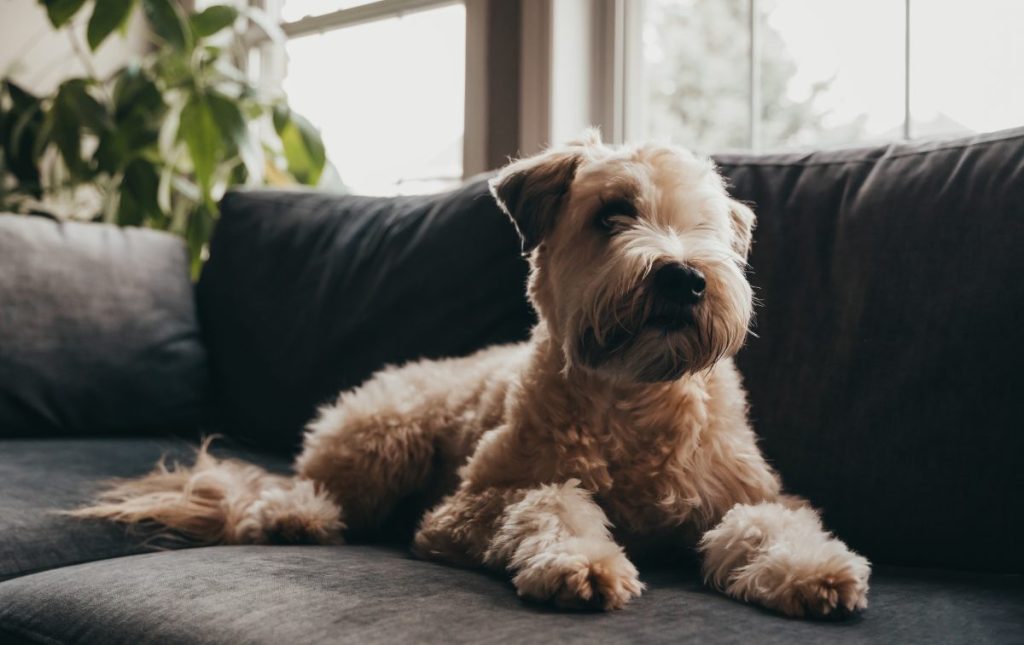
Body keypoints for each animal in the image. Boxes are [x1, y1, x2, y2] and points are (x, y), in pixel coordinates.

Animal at [74, 130, 872, 618]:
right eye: (613, 213)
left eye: (706, 223)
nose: (684, 276)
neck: (632, 399)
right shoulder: (465, 509)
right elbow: (548, 503)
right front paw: (578, 560)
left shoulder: (751, 494)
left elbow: (766, 523)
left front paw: (811, 570)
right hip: (386, 439)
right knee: (300, 490)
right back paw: (294, 517)